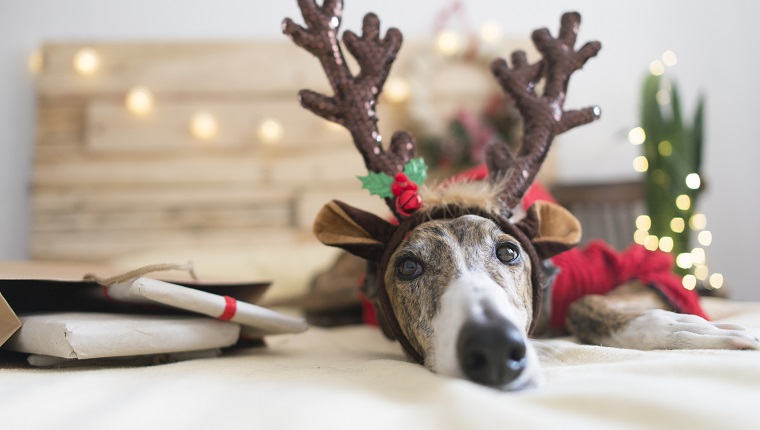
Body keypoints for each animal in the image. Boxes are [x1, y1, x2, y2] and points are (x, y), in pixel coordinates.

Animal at [284, 0, 760, 390]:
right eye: (406, 266)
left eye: (510, 252)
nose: (495, 348)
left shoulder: (632, 266)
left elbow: (589, 302)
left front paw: (692, 330)